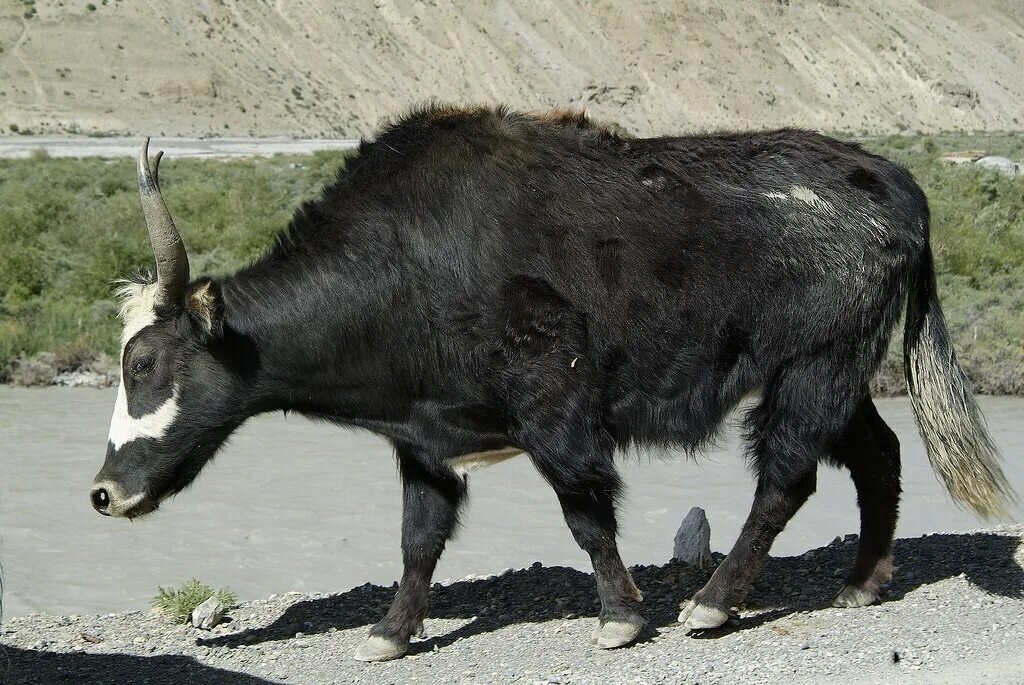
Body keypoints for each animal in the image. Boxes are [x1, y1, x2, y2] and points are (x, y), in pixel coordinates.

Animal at [90, 105, 1013, 662]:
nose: (103, 493)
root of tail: (897, 182)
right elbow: (418, 537)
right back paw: (861, 582)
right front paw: (389, 633)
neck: (402, 262)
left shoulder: (554, 408)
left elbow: (585, 512)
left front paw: (620, 619)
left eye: (143, 364)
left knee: (786, 476)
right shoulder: (425, 441)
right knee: (878, 454)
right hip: (835, 372)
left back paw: (712, 604)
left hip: (813, 365)